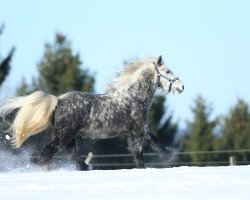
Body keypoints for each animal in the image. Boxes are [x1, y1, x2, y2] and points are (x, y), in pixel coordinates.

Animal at [0, 55, 184, 170]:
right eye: (167, 71)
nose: (181, 87)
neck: (134, 97)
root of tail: (58, 100)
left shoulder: (141, 129)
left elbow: (155, 141)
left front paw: (170, 155)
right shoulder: (136, 131)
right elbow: (139, 154)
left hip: (69, 137)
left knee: (71, 155)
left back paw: (84, 167)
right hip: (64, 136)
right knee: (48, 153)